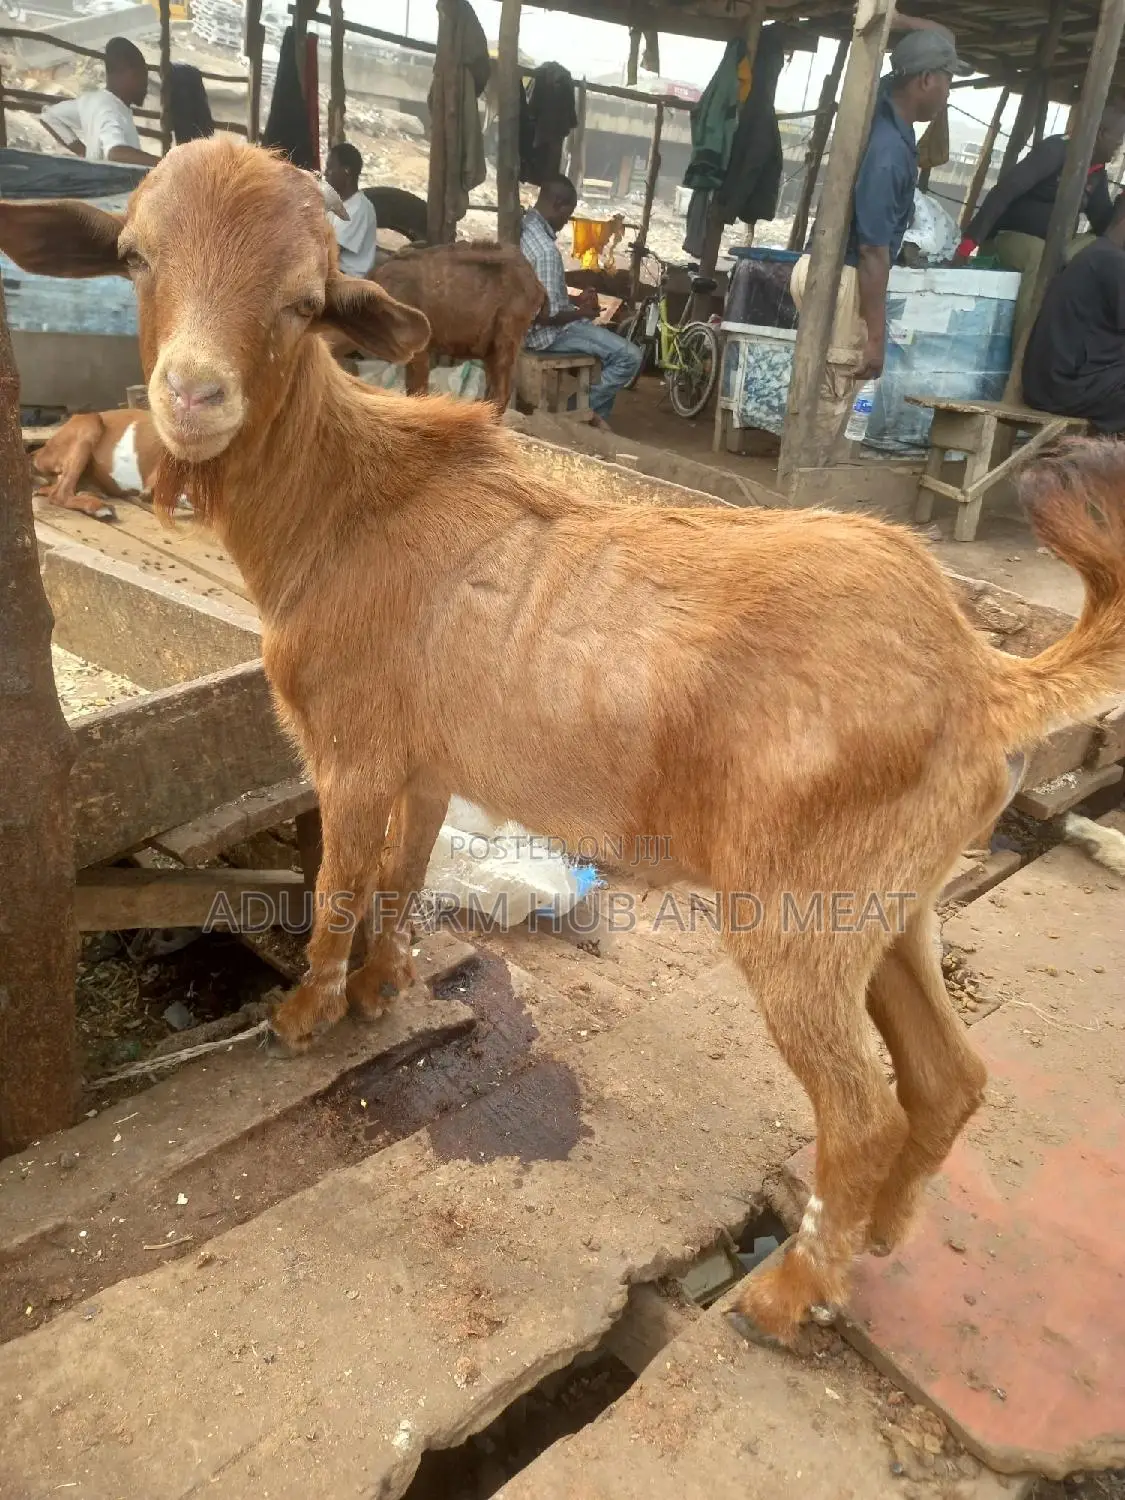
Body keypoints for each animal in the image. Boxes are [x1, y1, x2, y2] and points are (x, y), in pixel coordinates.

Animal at [3, 139, 1123, 1349]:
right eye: (134, 256)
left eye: (303, 303)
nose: (192, 396)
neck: (343, 505)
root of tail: (986, 678)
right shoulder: (428, 763)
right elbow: (401, 875)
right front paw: (384, 988)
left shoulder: (349, 752)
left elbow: (341, 882)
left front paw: (306, 1014)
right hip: (888, 903)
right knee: (948, 1075)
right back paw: (876, 1241)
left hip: (798, 913)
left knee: (863, 1112)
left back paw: (785, 1295)